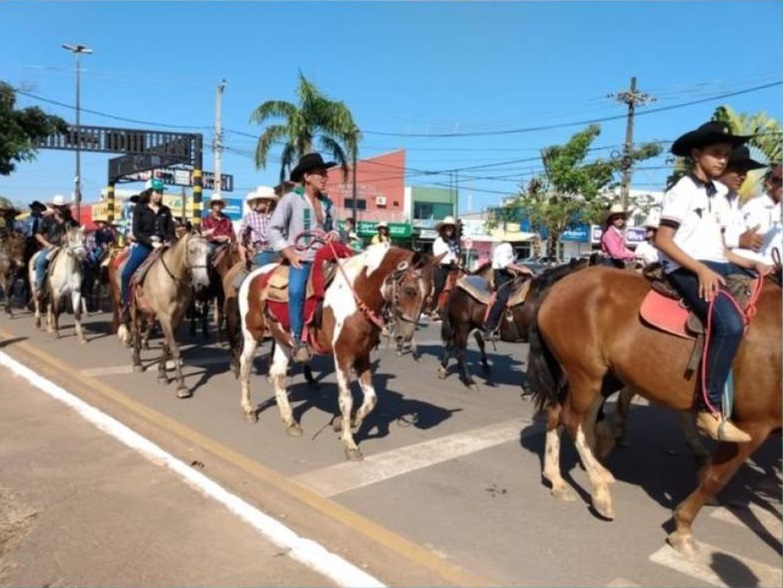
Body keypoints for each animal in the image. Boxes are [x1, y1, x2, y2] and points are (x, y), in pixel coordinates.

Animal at [236, 241, 444, 462]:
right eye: (410, 290)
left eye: (430, 294)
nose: (405, 336)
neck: (357, 296)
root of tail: (254, 273)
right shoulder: (343, 355)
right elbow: (346, 399)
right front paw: (350, 443)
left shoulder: (362, 355)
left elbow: (371, 398)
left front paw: (346, 423)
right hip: (252, 333)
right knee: (245, 366)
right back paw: (248, 410)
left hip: (283, 339)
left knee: (277, 375)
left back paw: (290, 420)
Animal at [524, 266, 780, 556]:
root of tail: (561, 285)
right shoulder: (753, 424)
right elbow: (716, 477)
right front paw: (683, 528)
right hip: (585, 373)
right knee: (571, 420)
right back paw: (599, 491)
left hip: (600, 375)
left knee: (562, 414)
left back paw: (562, 477)